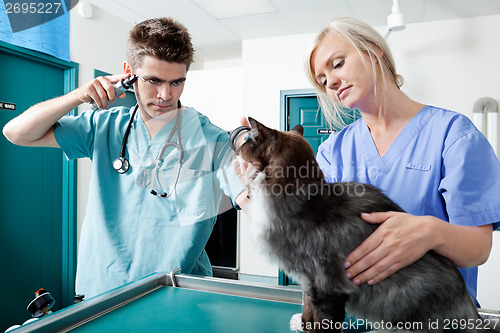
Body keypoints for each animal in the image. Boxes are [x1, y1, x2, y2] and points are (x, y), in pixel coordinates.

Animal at [237, 118, 492, 330]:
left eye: (250, 139)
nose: (239, 146)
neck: (303, 199)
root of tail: (465, 299)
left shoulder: (326, 287)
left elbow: (321, 323)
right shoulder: (308, 284)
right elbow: (307, 313)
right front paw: (302, 325)